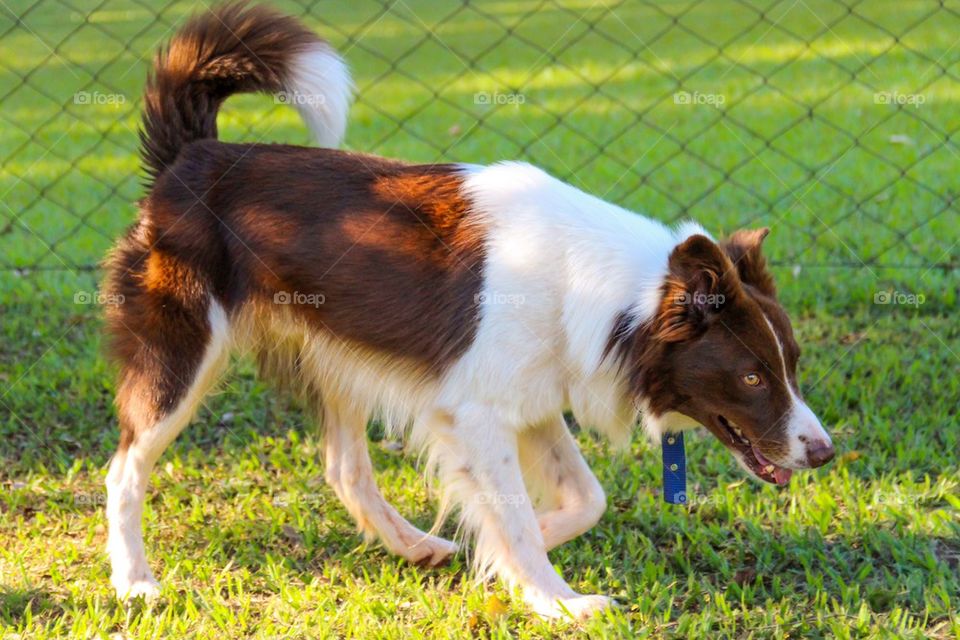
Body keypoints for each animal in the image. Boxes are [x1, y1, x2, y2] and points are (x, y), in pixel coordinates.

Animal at [103, 1, 832, 620]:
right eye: (752, 377)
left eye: (792, 367)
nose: (825, 453)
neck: (626, 298)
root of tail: (193, 155)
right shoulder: (476, 413)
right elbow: (515, 514)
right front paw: (555, 598)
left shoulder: (530, 400)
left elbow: (584, 498)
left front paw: (507, 552)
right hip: (181, 356)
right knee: (124, 469)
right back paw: (134, 581)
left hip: (339, 351)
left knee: (345, 469)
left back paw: (414, 544)